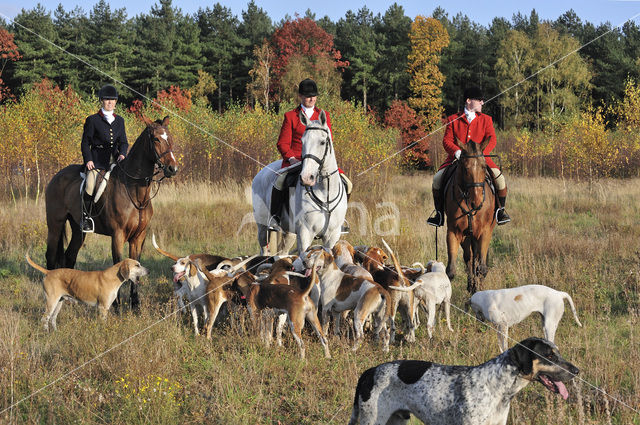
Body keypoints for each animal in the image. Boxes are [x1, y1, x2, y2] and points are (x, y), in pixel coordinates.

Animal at [45, 116, 178, 308]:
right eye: (155, 139)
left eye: (170, 138)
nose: (172, 169)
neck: (134, 191)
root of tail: (56, 176)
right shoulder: (118, 235)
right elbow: (119, 264)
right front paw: (116, 304)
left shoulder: (139, 236)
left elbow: (136, 265)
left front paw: (135, 304)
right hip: (55, 225)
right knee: (50, 255)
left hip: (78, 230)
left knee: (70, 256)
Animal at [251, 110, 350, 255]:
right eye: (302, 141)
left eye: (322, 142)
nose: (306, 177)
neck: (325, 191)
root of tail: (260, 173)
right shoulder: (305, 233)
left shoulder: (332, 236)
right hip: (263, 227)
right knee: (265, 250)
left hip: (289, 233)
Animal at [350, 338, 580, 424]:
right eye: (549, 356)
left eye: (557, 352)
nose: (577, 371)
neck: (498, 389)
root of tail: (370, 371)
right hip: (373, 420)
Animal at [442, 137, 498, 294]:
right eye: (465, 168)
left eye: (484, 167)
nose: (477, 201)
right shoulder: (454, 232)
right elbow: (451, 271)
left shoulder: (485, 233)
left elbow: (482, 269)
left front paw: (479, 292)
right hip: (467, 236)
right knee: (469, 258)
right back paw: (470, 284)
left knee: (477, 261)